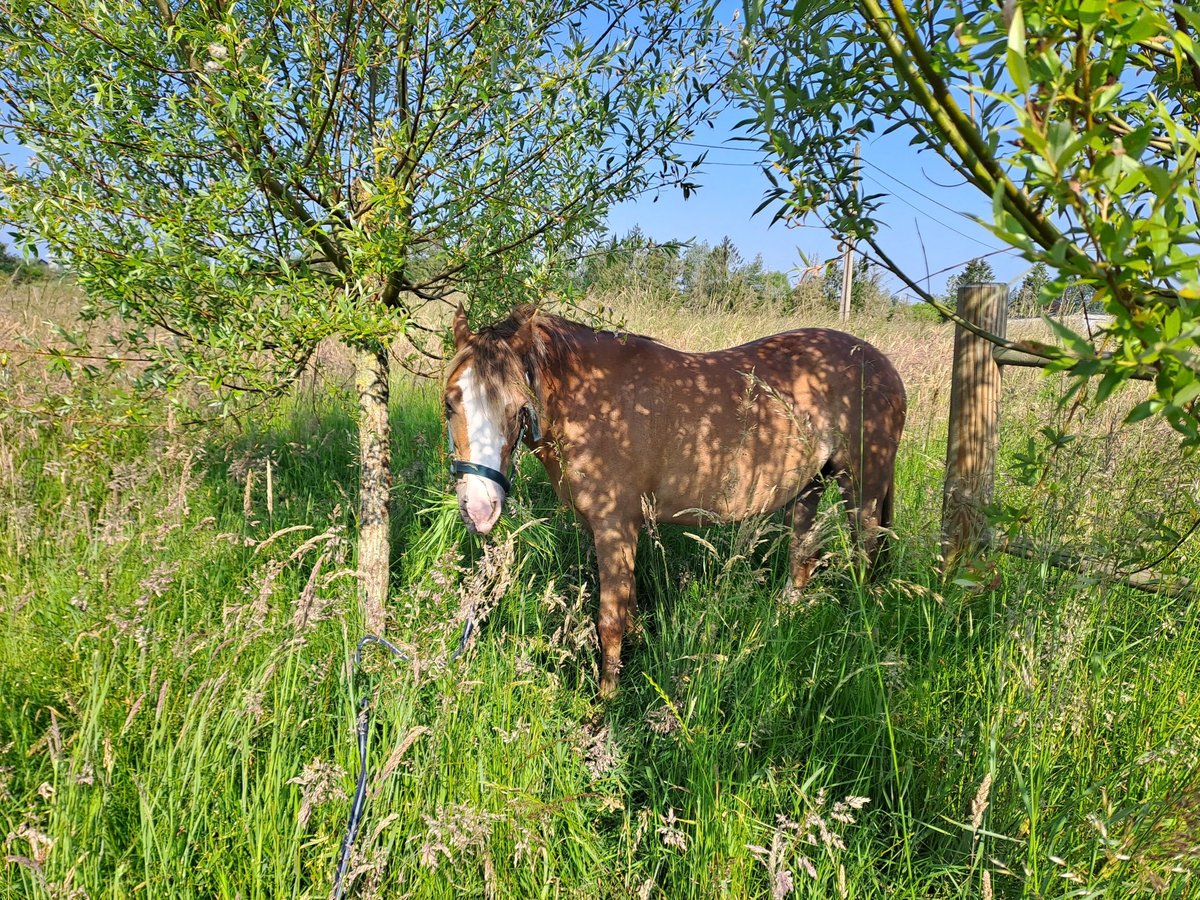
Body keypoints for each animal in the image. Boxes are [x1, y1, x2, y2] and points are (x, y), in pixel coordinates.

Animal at [446, 304, 902, 696]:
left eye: (517, 408)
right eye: (451, 402)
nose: (479, 509)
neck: (592, 402)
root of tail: (881, 364)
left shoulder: (614, 526)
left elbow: (610, 618)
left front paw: (607, 699)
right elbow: (628, 607)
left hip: (861, 489)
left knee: (864, 554)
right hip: (809, 488)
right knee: (803, 556)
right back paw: (784, 616)